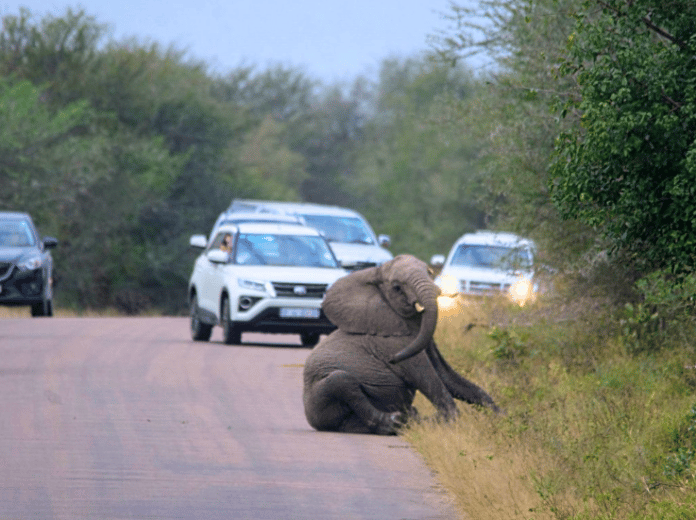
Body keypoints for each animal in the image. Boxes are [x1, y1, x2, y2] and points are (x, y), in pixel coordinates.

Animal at [302, 253, 498, 434]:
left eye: (429, 272)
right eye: (397, 288)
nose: (392, 360)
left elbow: (447, 375)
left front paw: (499, 417)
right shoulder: (392, 343)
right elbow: (427, 376)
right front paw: (447, 423)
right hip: (318, 402)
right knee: (342, 381)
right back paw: (399, 422)